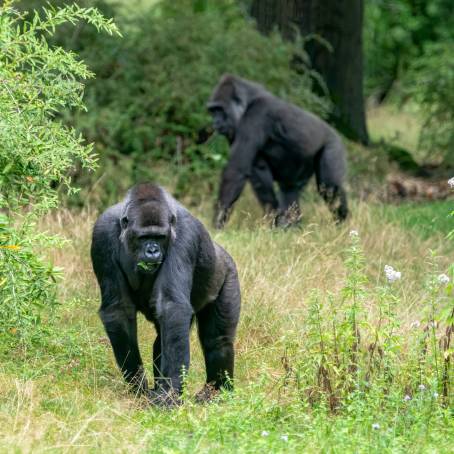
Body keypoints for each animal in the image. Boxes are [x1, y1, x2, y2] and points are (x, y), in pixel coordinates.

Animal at [91, 183, 241, 406]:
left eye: (160, 237)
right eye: (144, 237)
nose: (152, 251)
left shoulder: (185, 235)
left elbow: (172, 307)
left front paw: (169, 395)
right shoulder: (103, 232)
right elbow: (118, 309)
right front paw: (138, 385)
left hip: (228, 271)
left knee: (217, 340)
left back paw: (217, 391)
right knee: (162, 340)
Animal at [207, 75, 350, 231]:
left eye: (220, 110)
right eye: (213, 111)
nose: (215, 122)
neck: (248, 101)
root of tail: (336, 133)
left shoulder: (256, 115)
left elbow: (235, 171)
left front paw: (217, 223)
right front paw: (273, 219)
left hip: (333, 145)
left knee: (330, 188)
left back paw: (342, 223)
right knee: (288, 188)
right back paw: (291, 226)